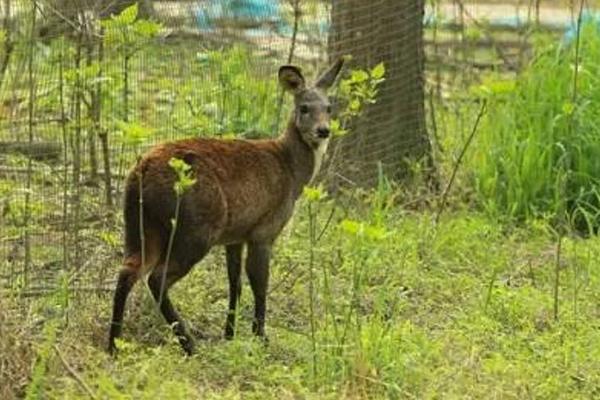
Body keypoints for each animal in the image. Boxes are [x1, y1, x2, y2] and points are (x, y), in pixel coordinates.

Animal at [106, 57, 342, 354]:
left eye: (329, 108)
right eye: (304, 108)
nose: (323, 130)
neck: (291, 171)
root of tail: (141, 170)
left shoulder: (235, 236)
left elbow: (235, 284)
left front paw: (229, 335)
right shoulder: (264, 230)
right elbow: (259, 284)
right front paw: (260, 338)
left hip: (140, 224)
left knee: (128, 270)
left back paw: (113, 344)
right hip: (196, 228)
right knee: (156, 278)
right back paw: (189, 344)